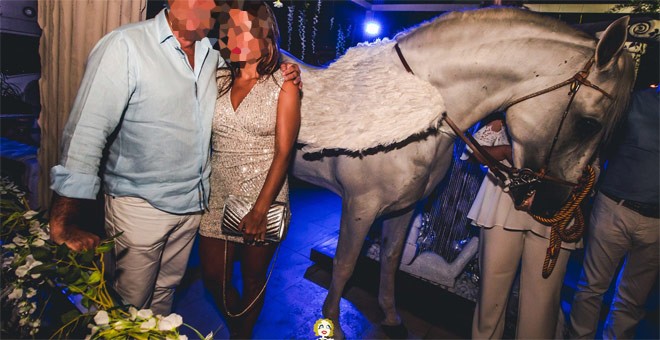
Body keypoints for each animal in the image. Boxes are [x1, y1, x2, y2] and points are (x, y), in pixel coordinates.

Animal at [288, 7, 636, 338]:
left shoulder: (404, 207)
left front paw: (390, 317)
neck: (420, 118)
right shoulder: (360, 207)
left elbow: (390, 258)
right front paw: (332, 322)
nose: (555, 204)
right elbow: (344, 265)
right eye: (589, 124)